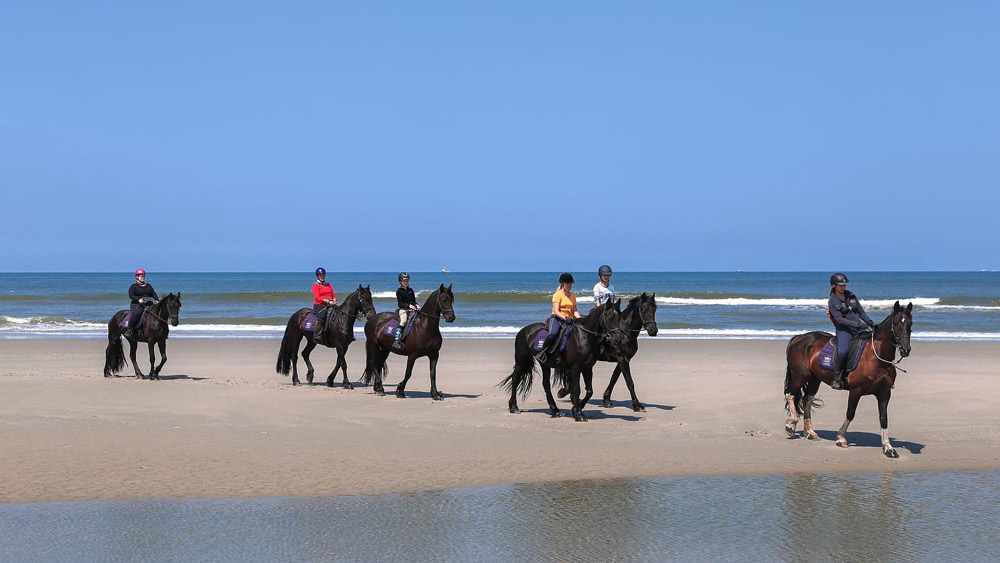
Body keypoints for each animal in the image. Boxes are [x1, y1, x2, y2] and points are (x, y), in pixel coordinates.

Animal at [784, 302, 912, 456]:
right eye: (897, 323)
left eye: (910, 323)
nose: (906, 349)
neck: (877, 358)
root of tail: (798, 337)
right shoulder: (856, 391)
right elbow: (850, 413)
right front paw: (840, 438)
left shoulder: (884, 394)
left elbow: (884, 418)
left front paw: (888, 448)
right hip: (799, 377)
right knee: (790, 394)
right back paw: (791, 425)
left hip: (815, 379)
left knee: (806, 399)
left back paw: (810, 432)